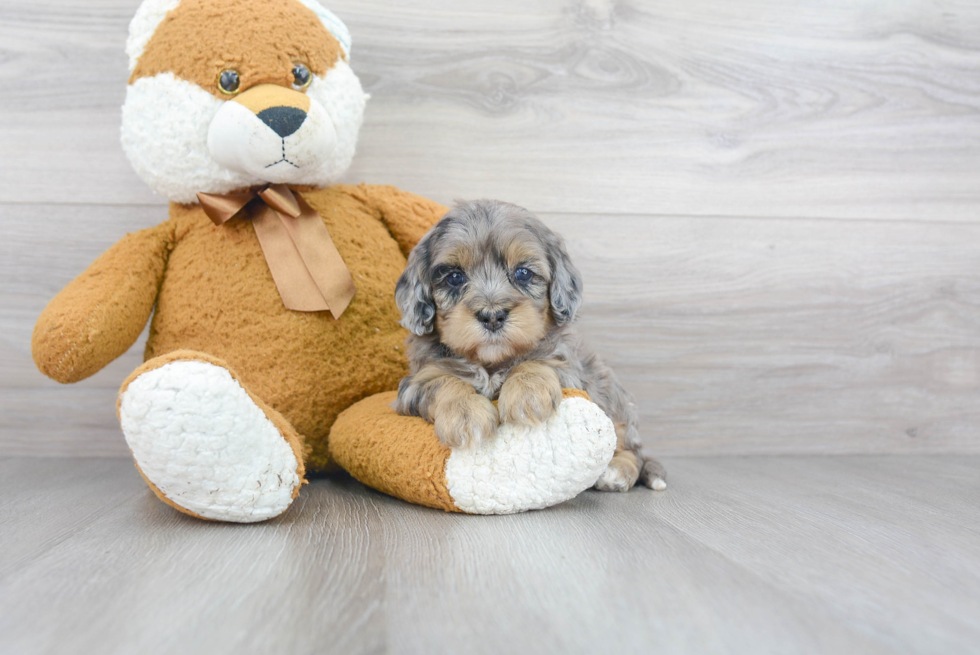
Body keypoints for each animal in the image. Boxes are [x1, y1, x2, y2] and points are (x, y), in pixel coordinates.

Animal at [392, 200, 668, 492]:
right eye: (454, 277)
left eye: (523, 273)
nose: (492, 316)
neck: (491, 363)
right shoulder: (415, 383)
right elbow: (443, 381)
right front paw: (465, 413)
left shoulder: (570, 368)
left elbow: (536, 361)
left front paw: (527, 393)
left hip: (614, 401)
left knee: (631, 448)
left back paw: (617, 472)